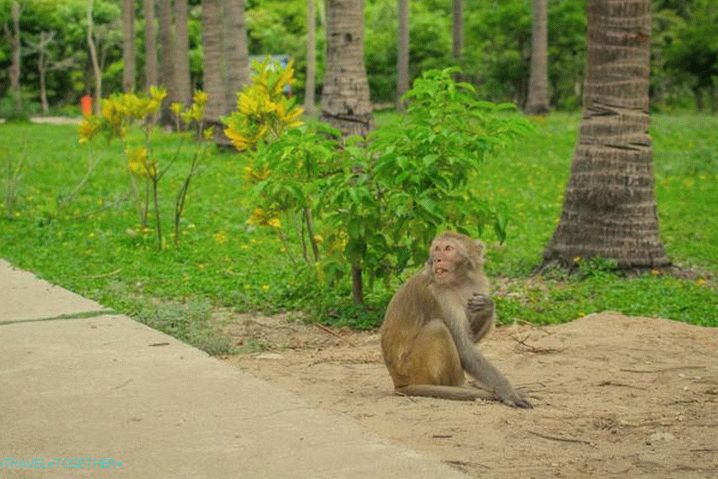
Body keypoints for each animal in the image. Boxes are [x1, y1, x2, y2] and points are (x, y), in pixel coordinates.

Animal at [380, 231, 532, 408]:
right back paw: (460, 387)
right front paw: (507, 391)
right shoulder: (440, 295)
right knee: (437, 328)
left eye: (447, 248)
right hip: (414, 369)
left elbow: (472, 338)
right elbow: (464, 348)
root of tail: (399, 383)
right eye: (437, 248)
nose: (435, 259)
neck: (459, 281)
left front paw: (487, 307)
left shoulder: (478, 286)